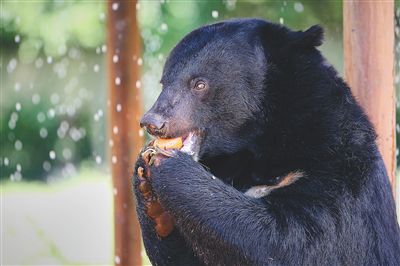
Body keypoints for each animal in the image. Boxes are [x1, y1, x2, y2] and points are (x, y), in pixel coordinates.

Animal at [133, 19, 398, 266]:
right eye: (164, 82)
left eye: (199, 84)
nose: (152, 121)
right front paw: (148, 189)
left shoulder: (339, 164)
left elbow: (291, 240)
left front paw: (170, 164)